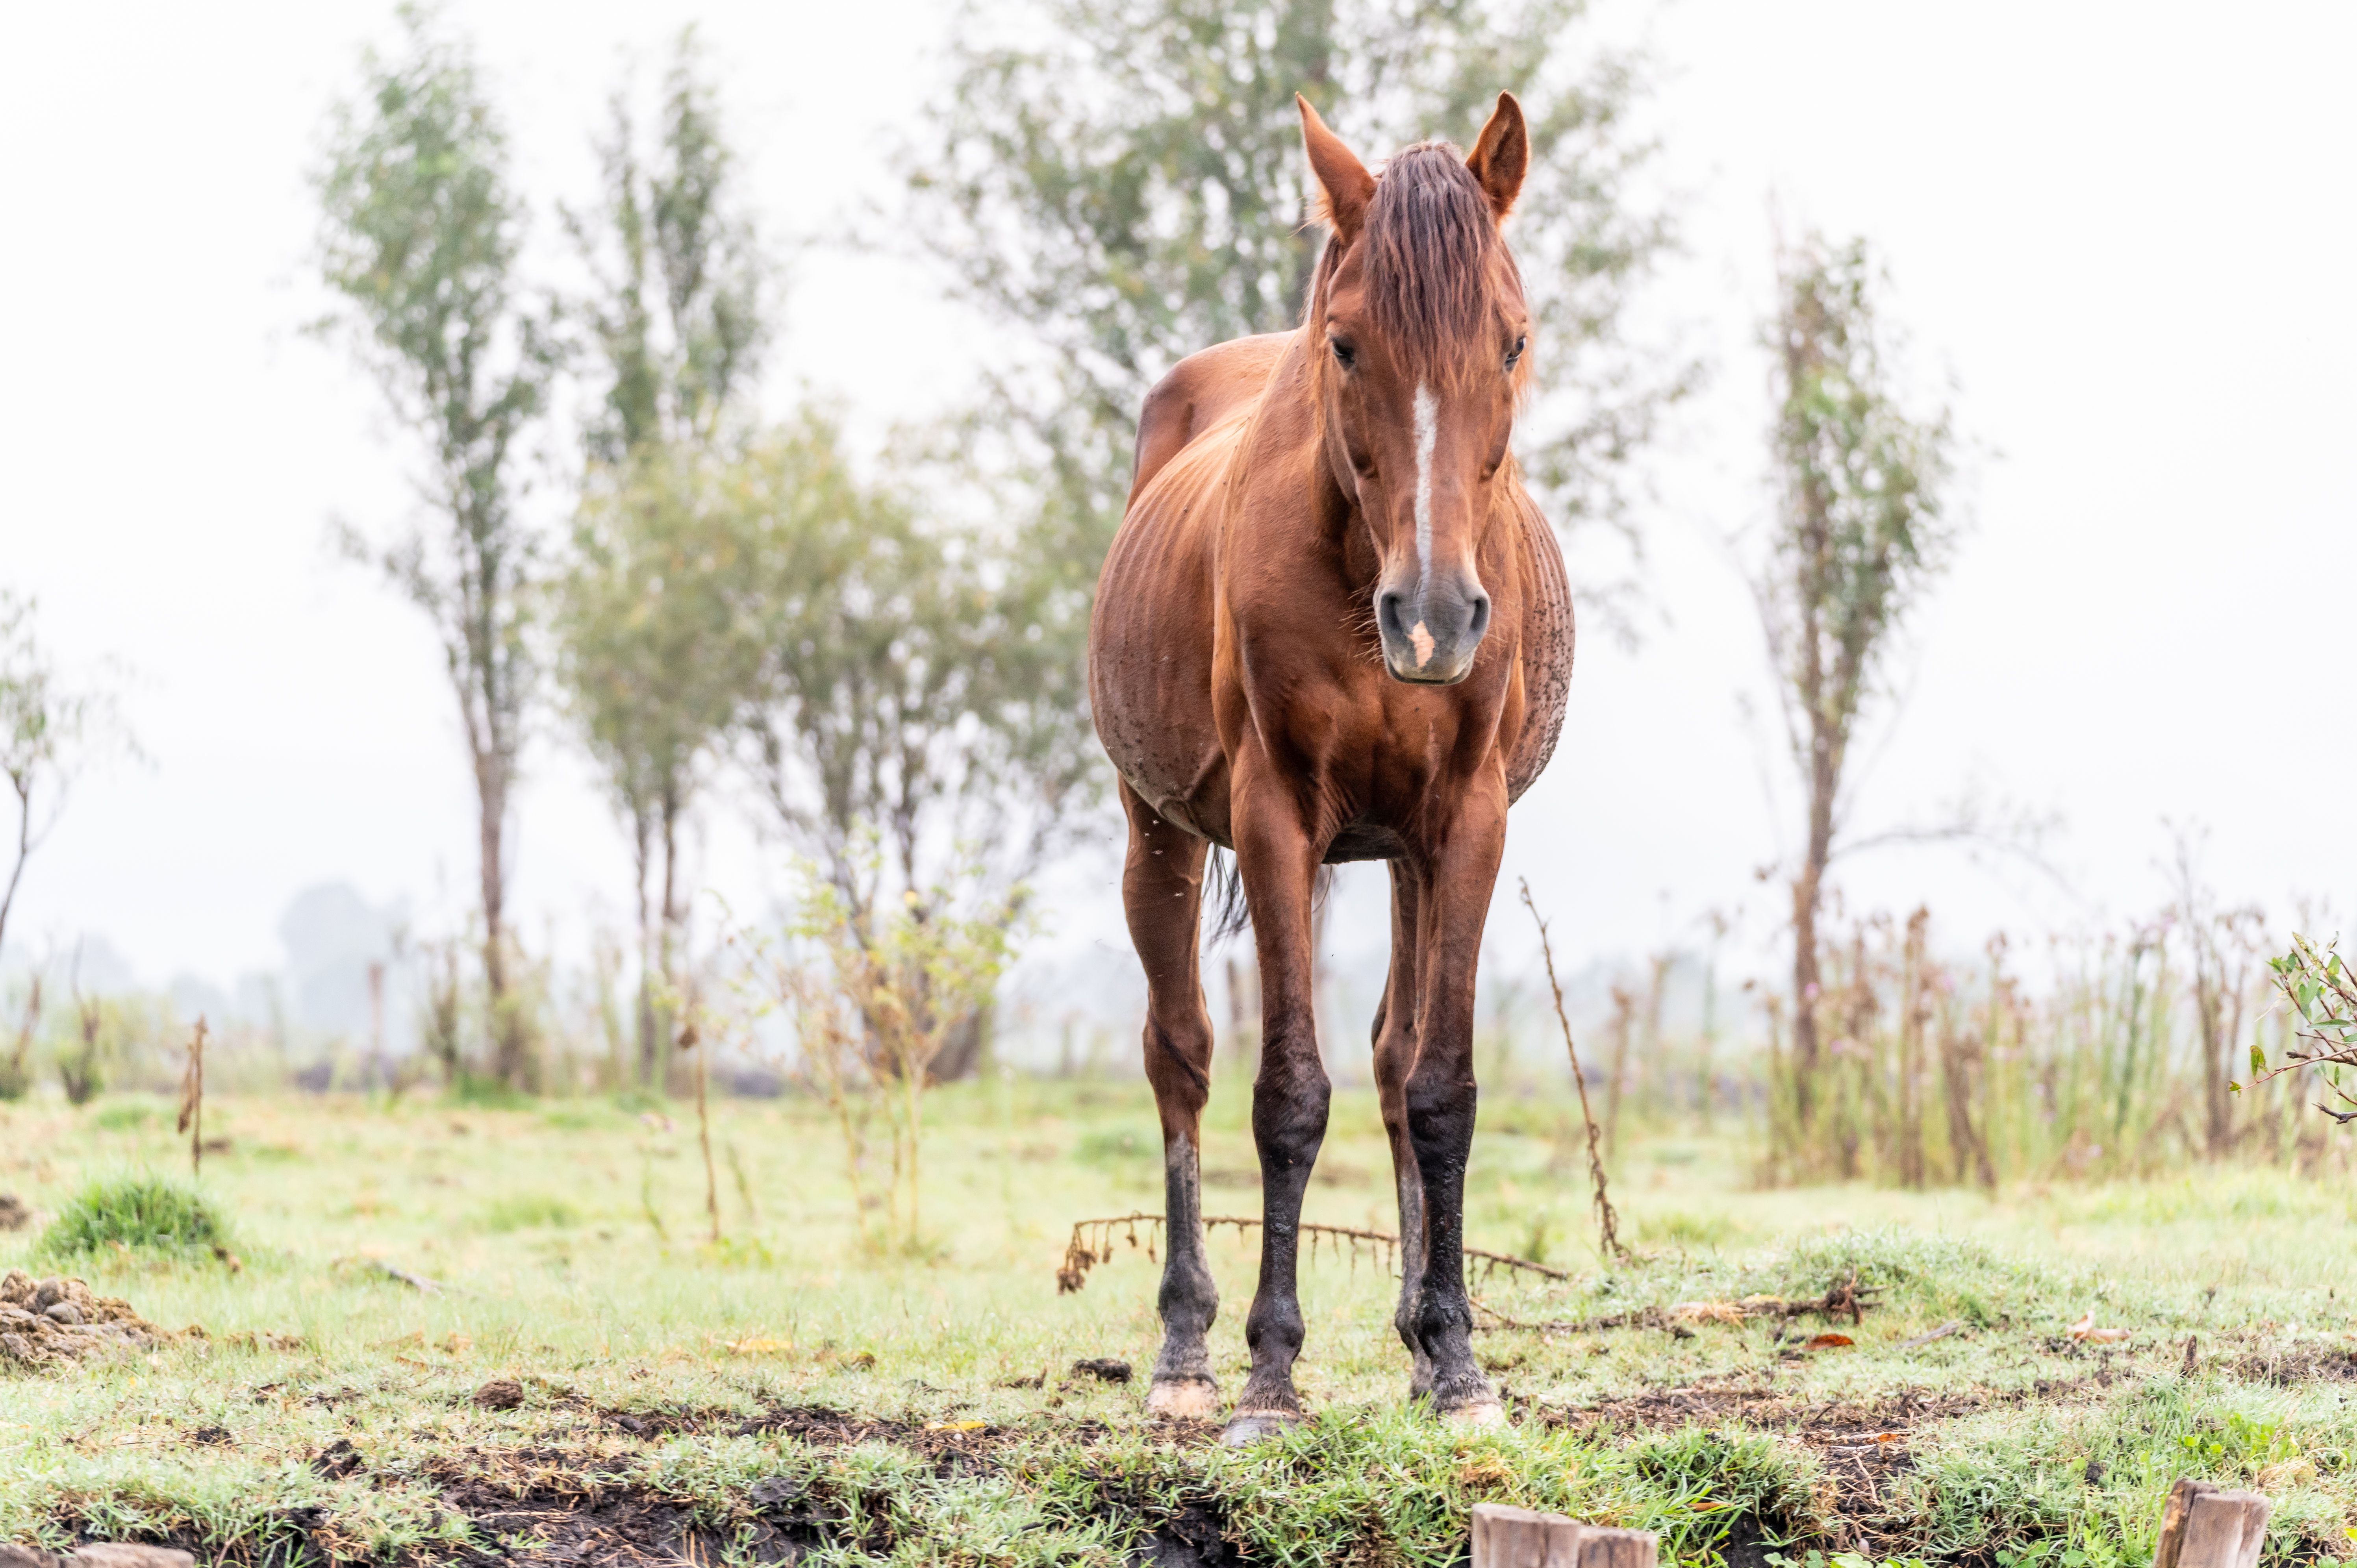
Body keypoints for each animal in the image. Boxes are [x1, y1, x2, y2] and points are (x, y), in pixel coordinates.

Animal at [1087, 90, 1575, 1443]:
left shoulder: (1466, 823)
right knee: (1182, 1057)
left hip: (1408, 855)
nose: (1434, 618)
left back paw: (1415, 1339)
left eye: (1513, 342)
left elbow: (1440, 1085)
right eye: (1347, 346)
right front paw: (1269, 1373)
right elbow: (1286, 1093)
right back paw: (1184, 1351)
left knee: (1396, 1060)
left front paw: (1456, 1362)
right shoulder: (1274, 818)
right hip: (1157, 835)